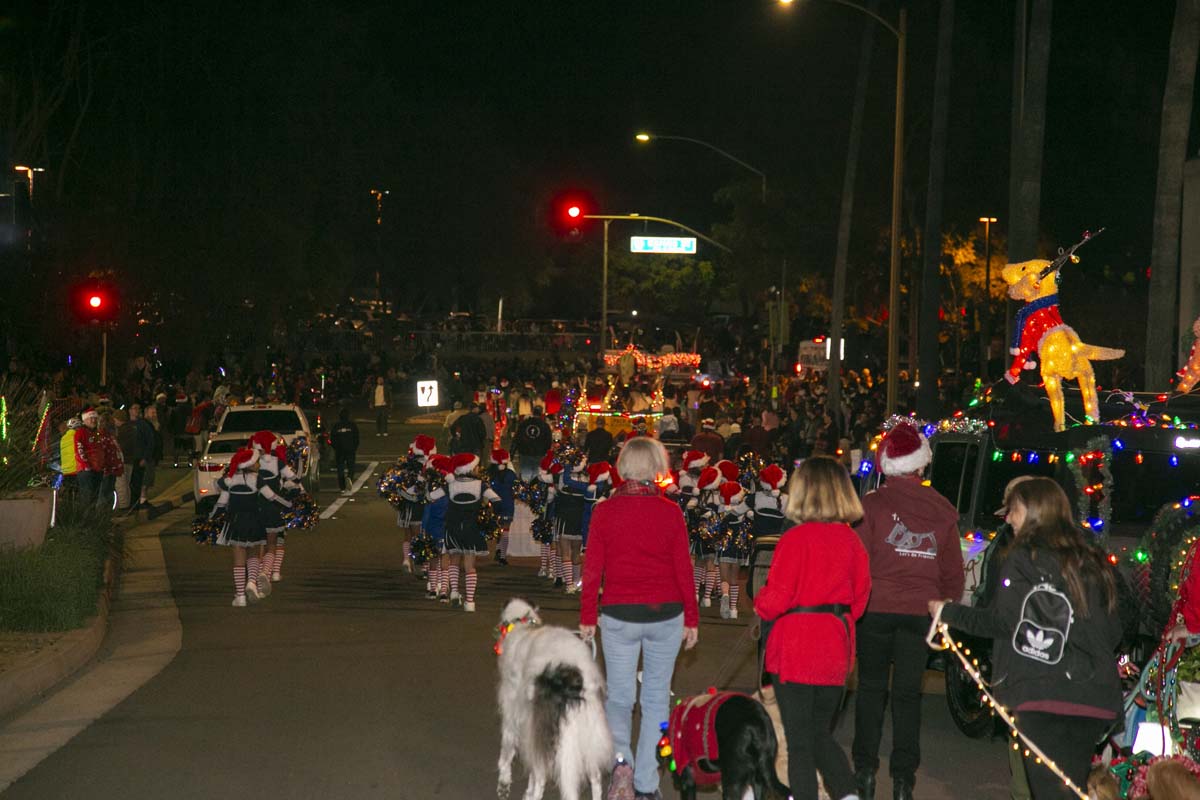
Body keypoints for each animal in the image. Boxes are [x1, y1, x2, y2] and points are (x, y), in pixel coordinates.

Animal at [494, 599, 614, 800]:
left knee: (541, 776)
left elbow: (507, 749)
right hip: (589, 731)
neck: (523, 625)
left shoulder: (515, 713)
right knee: (596, 778)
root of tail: (572, 676)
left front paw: (504, 783)